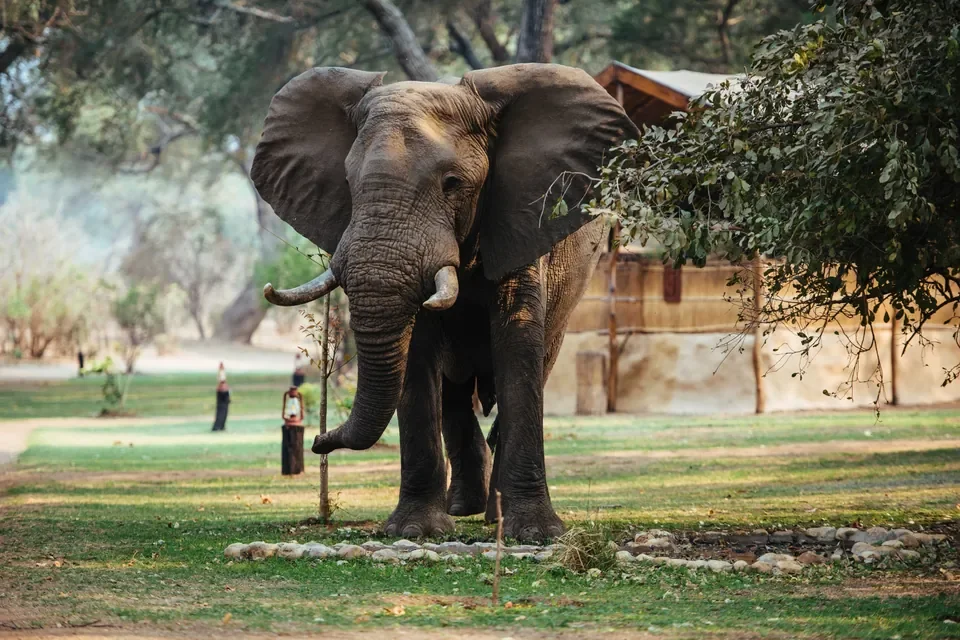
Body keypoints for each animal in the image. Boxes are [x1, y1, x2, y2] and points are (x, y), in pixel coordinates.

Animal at [251, 63, 636, 541]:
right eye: (348, 184)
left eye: (452, 184)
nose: (318, 440)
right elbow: (417, 353)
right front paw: (414, 530)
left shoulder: (520, 216)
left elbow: (517, 345)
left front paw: (536, 534)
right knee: (453, 393)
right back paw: (462, 508)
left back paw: (491, 515)